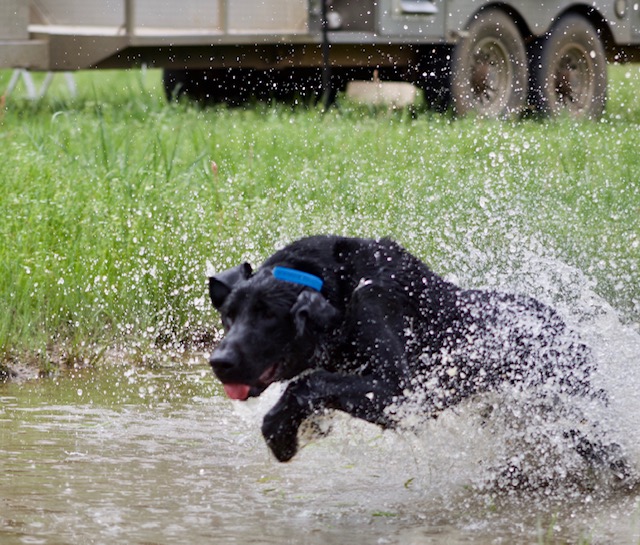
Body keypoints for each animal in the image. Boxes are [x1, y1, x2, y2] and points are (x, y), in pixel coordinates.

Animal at [210, 236, 600, 462]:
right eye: (229, 315)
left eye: (269, 316)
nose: (219, 361)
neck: (340, 289)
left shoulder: (406, 394)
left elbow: (309, 383)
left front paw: (279, 433)